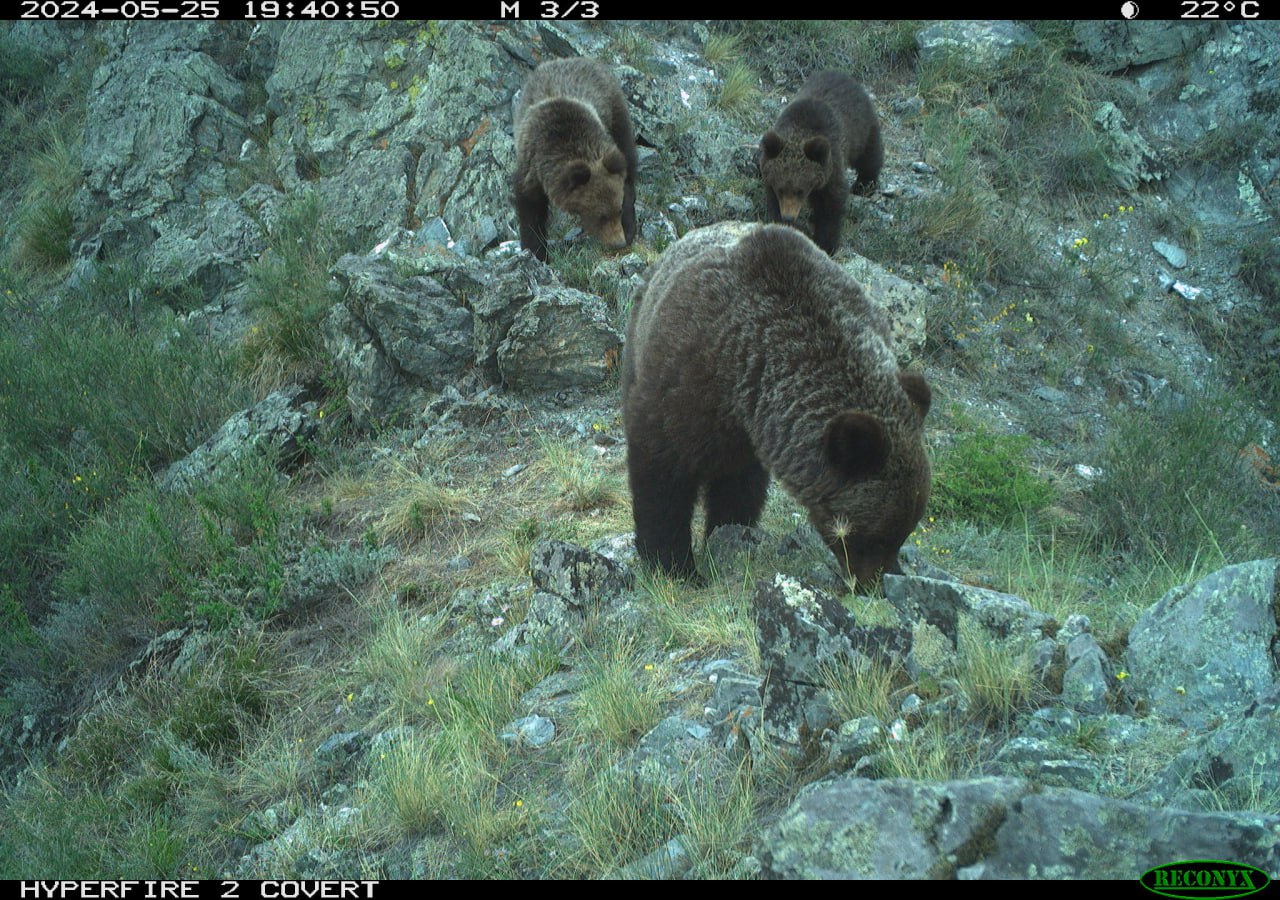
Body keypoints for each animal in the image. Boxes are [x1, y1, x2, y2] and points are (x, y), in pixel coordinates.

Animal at [512, 58, 637, 262]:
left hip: (614, 108)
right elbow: (530, 210)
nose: (618, 243)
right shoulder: (531, 167)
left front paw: (629, 227)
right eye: (600, 216)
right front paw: (537, 252)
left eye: (617, 210)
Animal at [622, 221, 931, 588]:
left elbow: (740, 489)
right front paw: (674, 565)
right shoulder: (689, 381)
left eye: (905, 531)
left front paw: (729, 536)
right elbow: (662, 472)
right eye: (878, 538)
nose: (878, 584)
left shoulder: (749, 432)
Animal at [757, 71, 880, 257]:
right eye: (781, 189)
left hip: (861, 128)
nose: (789, 216)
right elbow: (773, 203)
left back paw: (865, 184)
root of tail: (843, 75)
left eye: (800, 190)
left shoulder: (832, 166)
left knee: (869, 155)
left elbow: (831, 206)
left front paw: (826, 243)